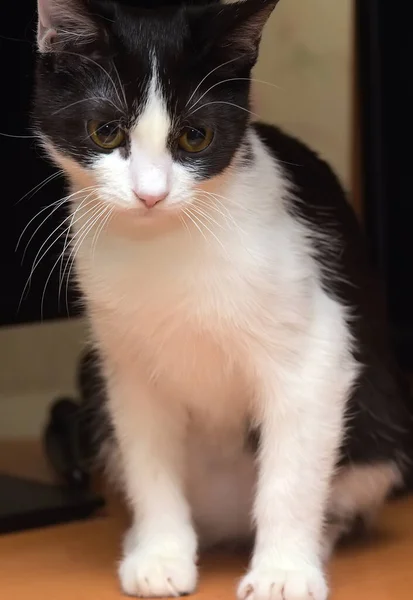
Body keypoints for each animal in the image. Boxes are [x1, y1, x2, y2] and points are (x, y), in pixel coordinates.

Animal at [33, 1, 412, 600]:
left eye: (195, 137)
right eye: (105, 130)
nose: (150, 194)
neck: (165, 244)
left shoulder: (315, 350)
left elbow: (290, 473)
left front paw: (284, 570)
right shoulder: (126, 366)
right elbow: (149, 461)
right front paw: (161, 552)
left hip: (382, 420)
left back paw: (319, 538)